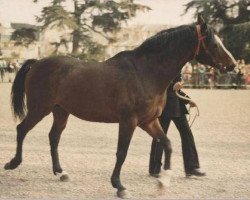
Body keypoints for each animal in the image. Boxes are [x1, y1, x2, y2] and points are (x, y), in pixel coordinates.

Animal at [4, 14, 236, 198]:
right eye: (215, 44)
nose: (232, 65)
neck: (145, 72)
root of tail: (37, 62)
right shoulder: (129, 121)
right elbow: (122, 152)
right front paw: (119, 186)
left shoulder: (149, 122)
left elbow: (167, 144)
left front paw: (163, 182)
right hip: (39, 109)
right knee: (22, 129)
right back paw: (13, 163)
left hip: (61, 111)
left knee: (53, 137)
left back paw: (61, 172)